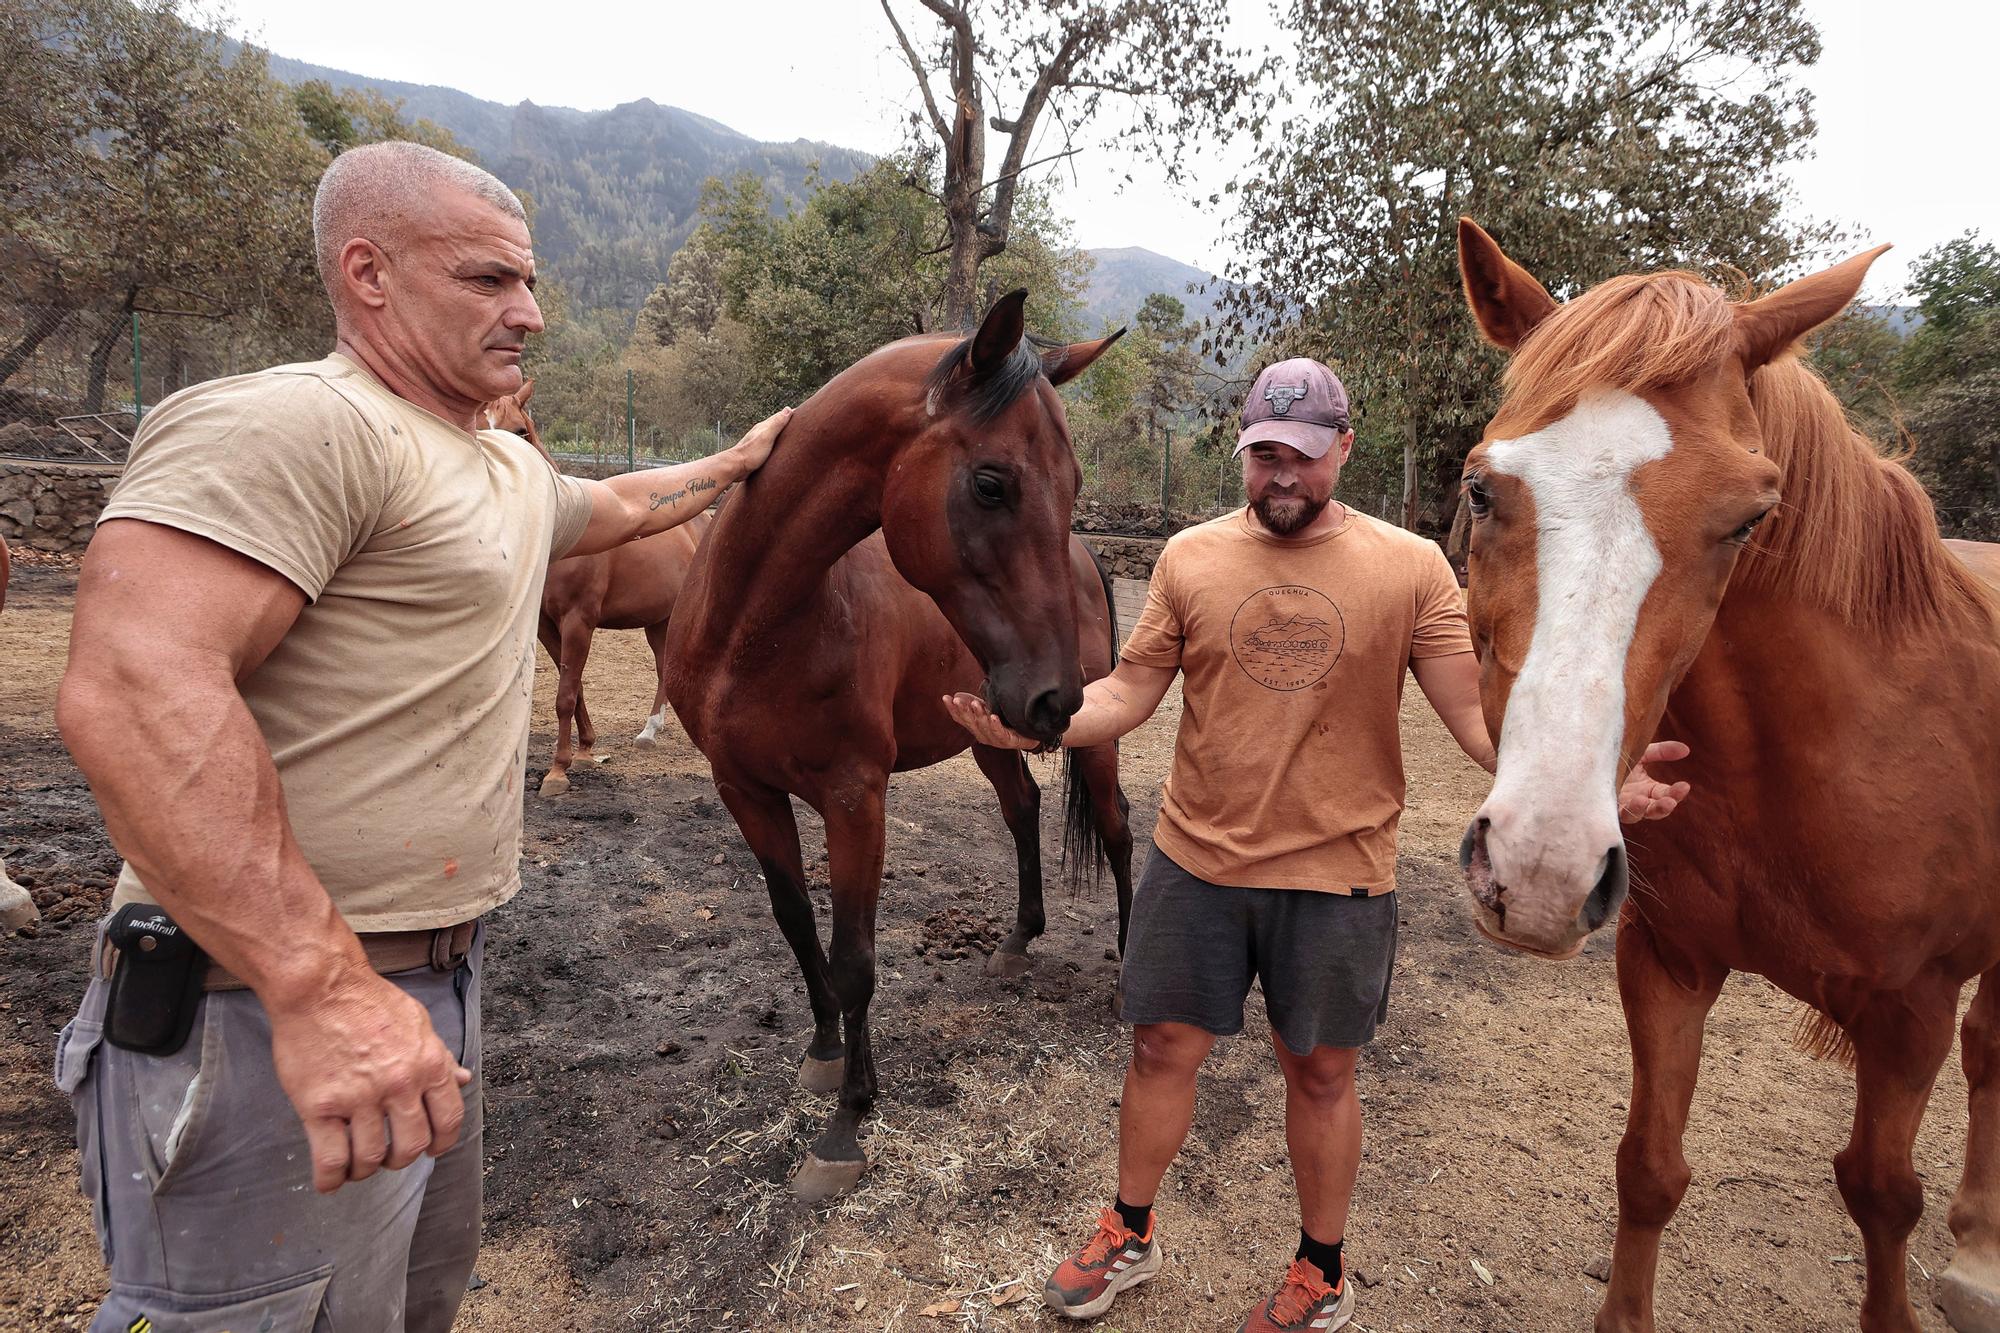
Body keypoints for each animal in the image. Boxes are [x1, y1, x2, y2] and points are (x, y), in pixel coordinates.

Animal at [480, 378, 708, 792]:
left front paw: (558, 770)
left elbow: (565, 695)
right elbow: (574, 684)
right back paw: (650, 731)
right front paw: (585, 750)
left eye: (521, 432)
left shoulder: (578, 620)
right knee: (663, 668)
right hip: (658, 620)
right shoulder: (546, 625)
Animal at [668, 288, 1144, 1192]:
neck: (757, 624)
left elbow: (855, 955)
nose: (1054, 698)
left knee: (1118, 828)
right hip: (990, 732)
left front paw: (845, 1126)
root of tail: (1086, 558)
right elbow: (794, 918)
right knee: (1024, 808)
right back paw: (1016, 942)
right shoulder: (744, 789)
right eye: (991, 483)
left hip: (1088, 744)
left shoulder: (856, 799)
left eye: (1070, 483)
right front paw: (823, 1053)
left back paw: (1132, 974)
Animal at [1448, 220, 2000, 1328]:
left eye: (1748, 518)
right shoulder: (1669, 963)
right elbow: (1648, 1168)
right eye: (1481, 487)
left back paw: (1979, 1256)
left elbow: (1882, 1192)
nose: (1538, 873)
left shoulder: (1911, 1008)